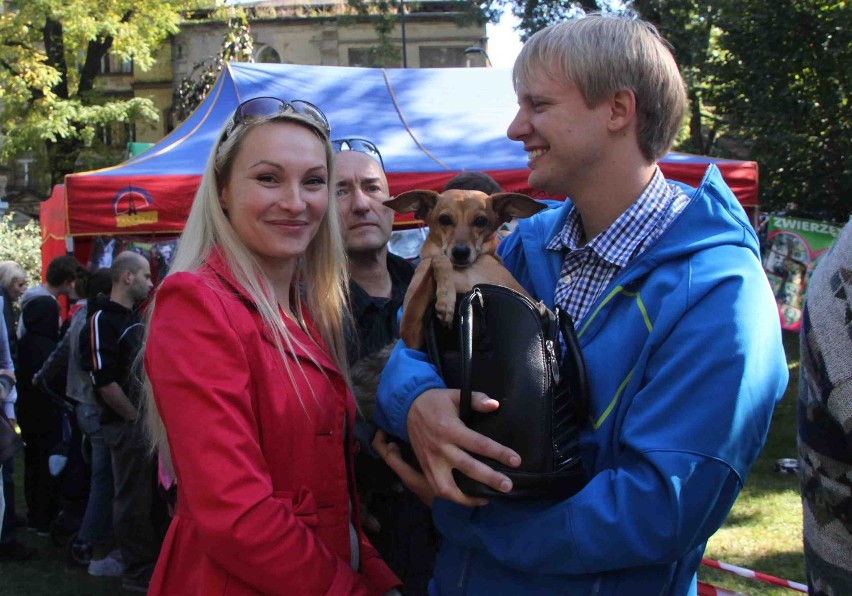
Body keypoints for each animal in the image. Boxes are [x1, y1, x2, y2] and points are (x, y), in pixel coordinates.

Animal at [386, 190, 544, 350]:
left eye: (480, 220)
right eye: (444, 219)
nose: (460, 252)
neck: (464, 271)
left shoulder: (531, 301)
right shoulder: (410, 334)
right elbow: (439, 258)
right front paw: (446, 298)